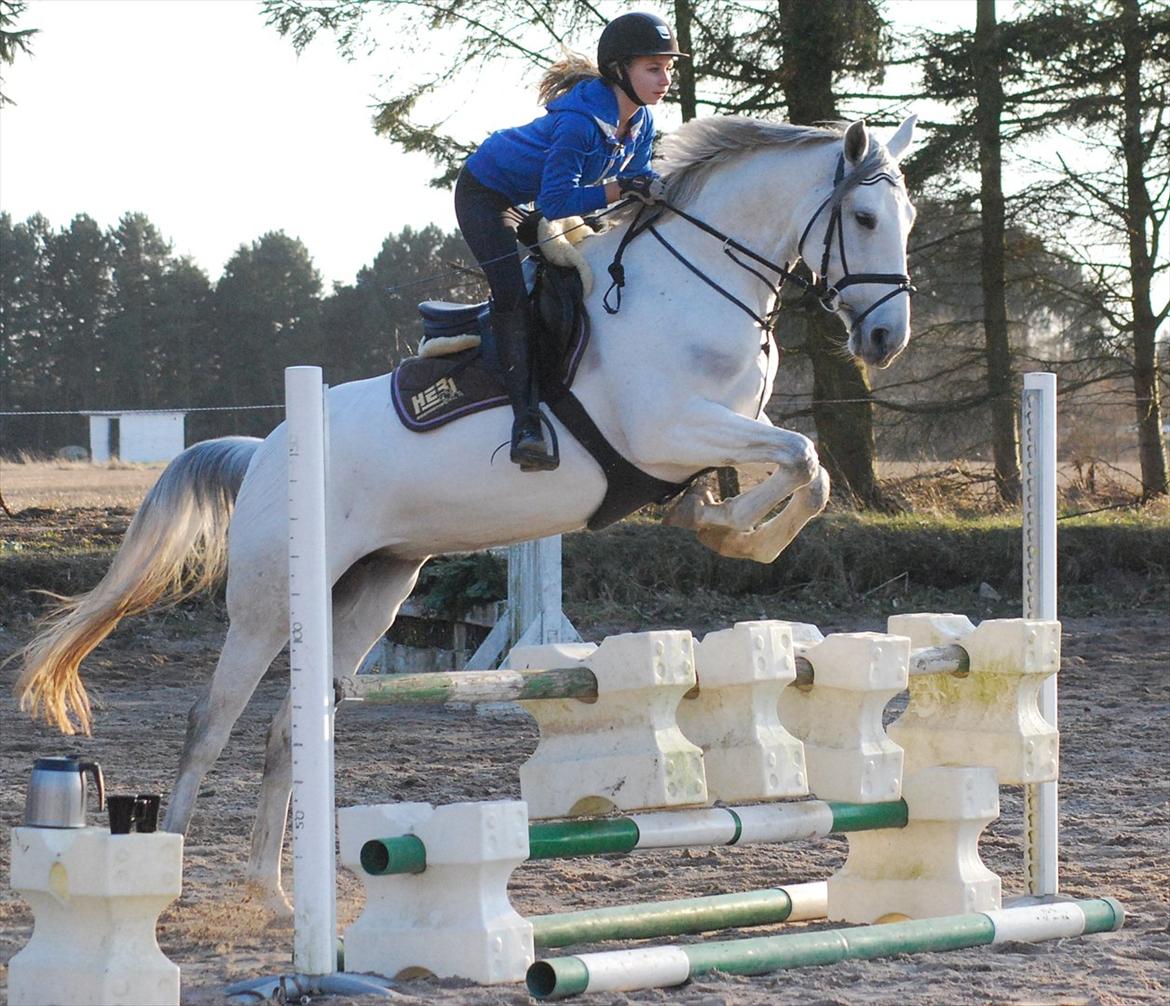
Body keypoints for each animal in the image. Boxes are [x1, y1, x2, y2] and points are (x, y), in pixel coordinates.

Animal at [13, 114, 917, 907]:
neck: (694, 281)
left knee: (288, 732)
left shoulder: (722, 432)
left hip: (370, 591)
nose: (885, 342)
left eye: (907, 218)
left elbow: (804, 467)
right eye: (865, 217)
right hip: (269, 605)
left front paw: (725, 528)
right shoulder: (666, 430)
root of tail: (267, 449)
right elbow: (802, 458)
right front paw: (732, 534)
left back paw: (268, 892)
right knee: (210, 722)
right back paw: (169, 869)